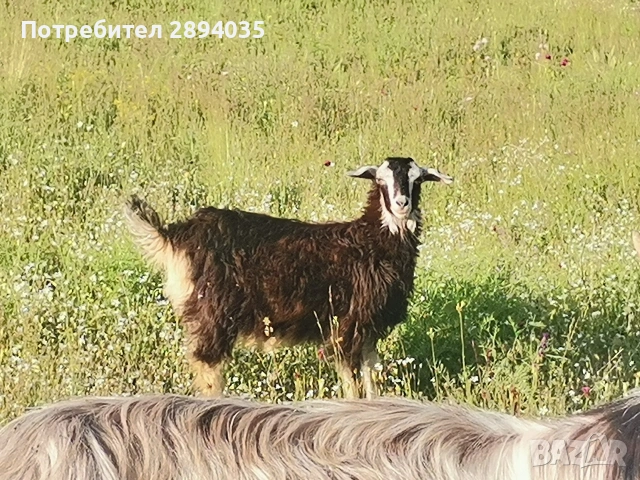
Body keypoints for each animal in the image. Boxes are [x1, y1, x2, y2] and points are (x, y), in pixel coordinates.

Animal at [124, 157, 453, 398]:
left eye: (417, 180)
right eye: (380, 180)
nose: (401, 204)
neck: (372, 241)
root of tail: (175, 235)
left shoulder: (370, 327)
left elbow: (372, 378)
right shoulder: (347, 324)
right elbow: (353, 383)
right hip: (212, 312)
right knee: (207, 366)